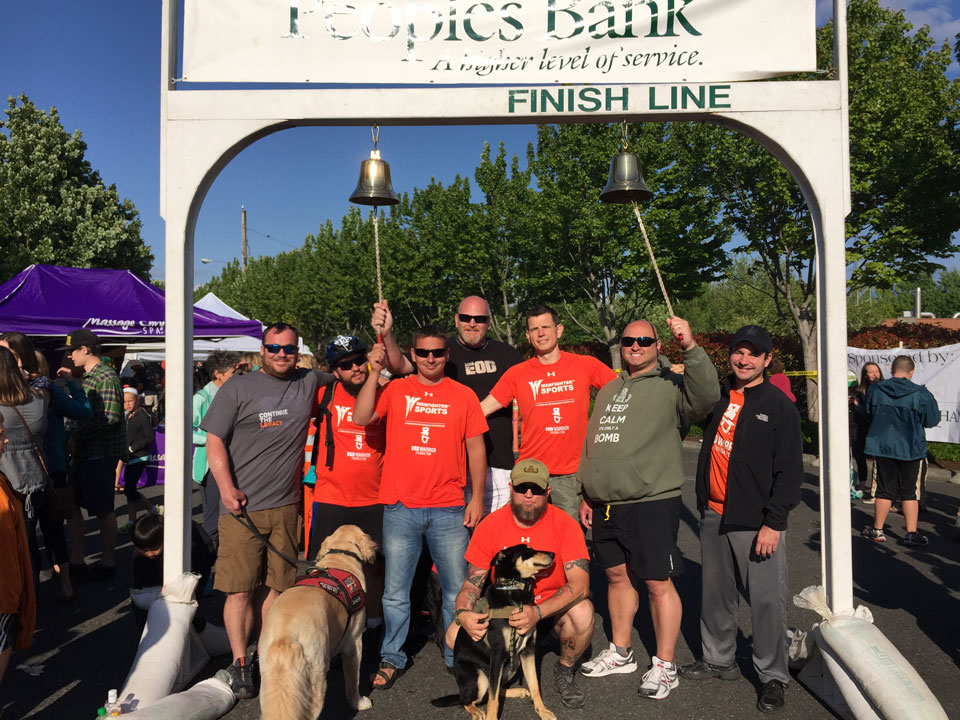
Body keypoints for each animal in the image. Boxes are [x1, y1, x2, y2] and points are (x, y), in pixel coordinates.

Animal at [436, 544, 556, 720]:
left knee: (496, 690)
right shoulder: (498, 654)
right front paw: (492, 717)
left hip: (513, 663)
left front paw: (543, 711)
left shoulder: (528, 650)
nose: (553, 554)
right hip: (480, 677)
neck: (513, 587)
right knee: (469, 699)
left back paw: (517, 691)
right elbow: (493, 700)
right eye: (528, 550)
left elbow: (534, 685)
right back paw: (477, 711)